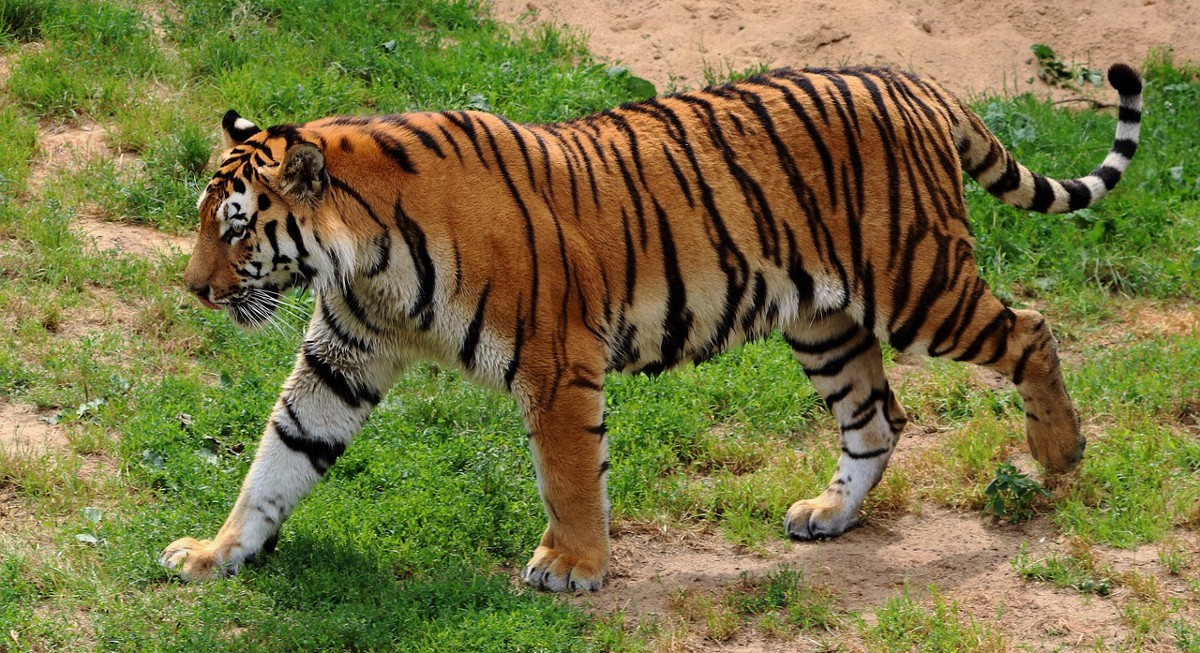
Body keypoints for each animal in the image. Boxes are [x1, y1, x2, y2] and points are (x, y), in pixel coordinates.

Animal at [159, 62, 1142, 590]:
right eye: (207, 221)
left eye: (236, 228)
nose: (194, 288)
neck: (363, 260)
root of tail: (913, 80)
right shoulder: (344, 356)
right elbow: (278, 459)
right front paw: (218, 551)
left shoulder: (555, 364)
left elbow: (567, 476)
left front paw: (573, 566)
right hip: (825, 321)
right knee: (877, 419)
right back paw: (828, 514)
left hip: (918, 285)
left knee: (1030, 328)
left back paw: (1059, 451)